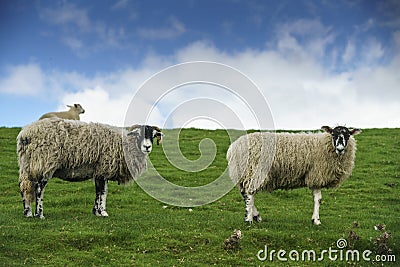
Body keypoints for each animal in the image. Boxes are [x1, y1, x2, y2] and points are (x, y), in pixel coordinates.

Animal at [16, 118, 164, 219]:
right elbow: (103, 192)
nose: (147, 147)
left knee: (25, 187)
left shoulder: (98, 172)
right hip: (44, 163)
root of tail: (25, 134)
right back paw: (39, 214)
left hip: (27, 165)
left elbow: (98, 191)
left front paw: (96, 212)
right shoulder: (104, 168)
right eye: (139, 134)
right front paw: (103, 212)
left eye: (153, 135)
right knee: (39, 188)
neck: (125, 145)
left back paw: (27, 212)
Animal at [227, 126, 360, 225]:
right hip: (254, 170)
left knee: (245, 193)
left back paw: (256, 216)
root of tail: (233, 148)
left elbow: (317, 199)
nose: (340, 148)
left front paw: (314, 219)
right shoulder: (316, 175)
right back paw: (249, 219)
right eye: (333, 134)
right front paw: (316, 220)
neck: (325, 145)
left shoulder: (315, 176)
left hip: (244, 173)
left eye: (348, 135)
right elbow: (318, 199)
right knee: (250, 193)